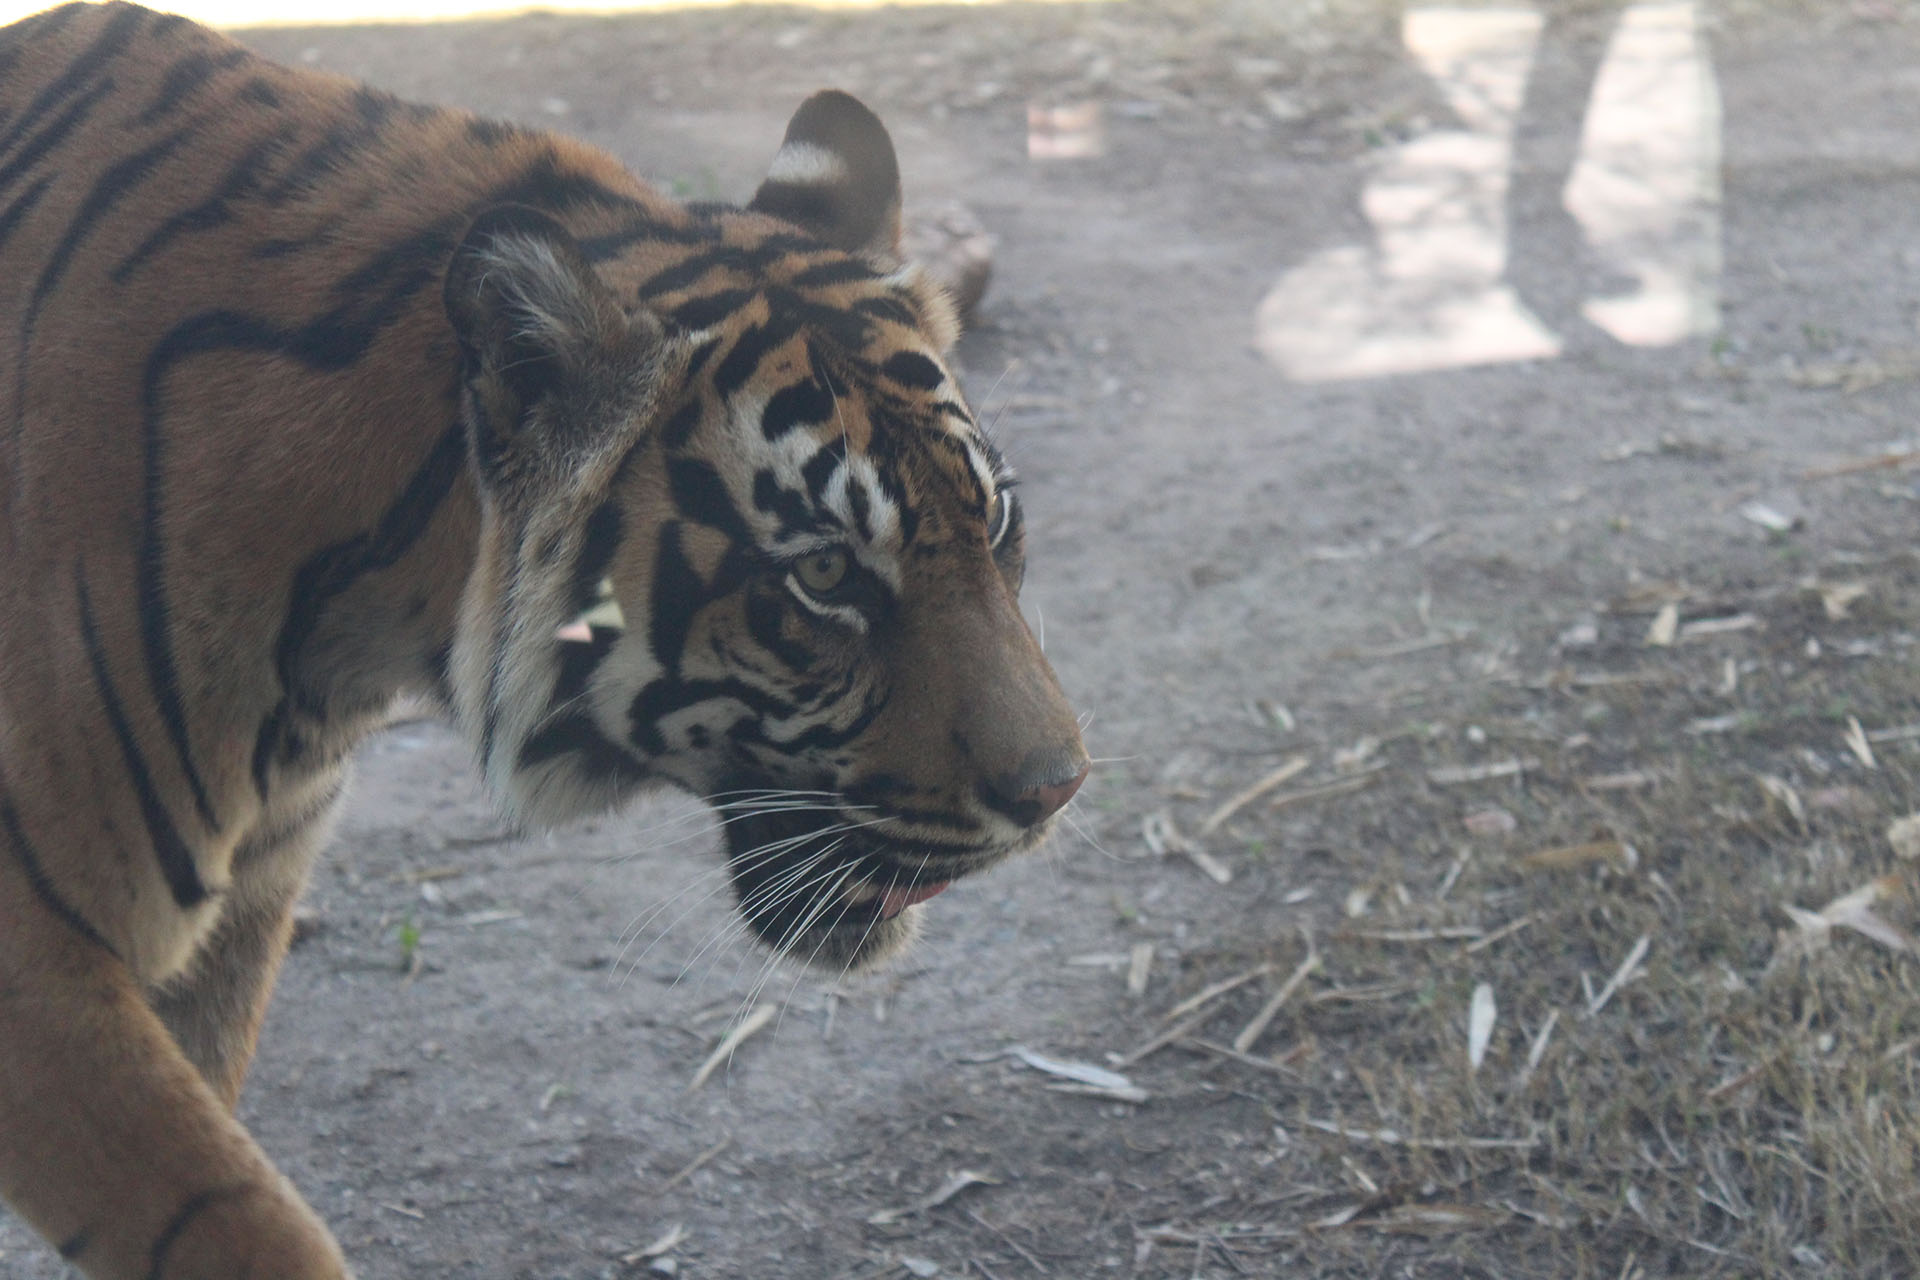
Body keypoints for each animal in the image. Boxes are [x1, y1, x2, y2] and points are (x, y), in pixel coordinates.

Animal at [0, 5, 1090, 1274]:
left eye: (997, 522)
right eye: (822, 573)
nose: (1058, 791)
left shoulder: (244, 905)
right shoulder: (32, 965)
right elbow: (238, 1221)